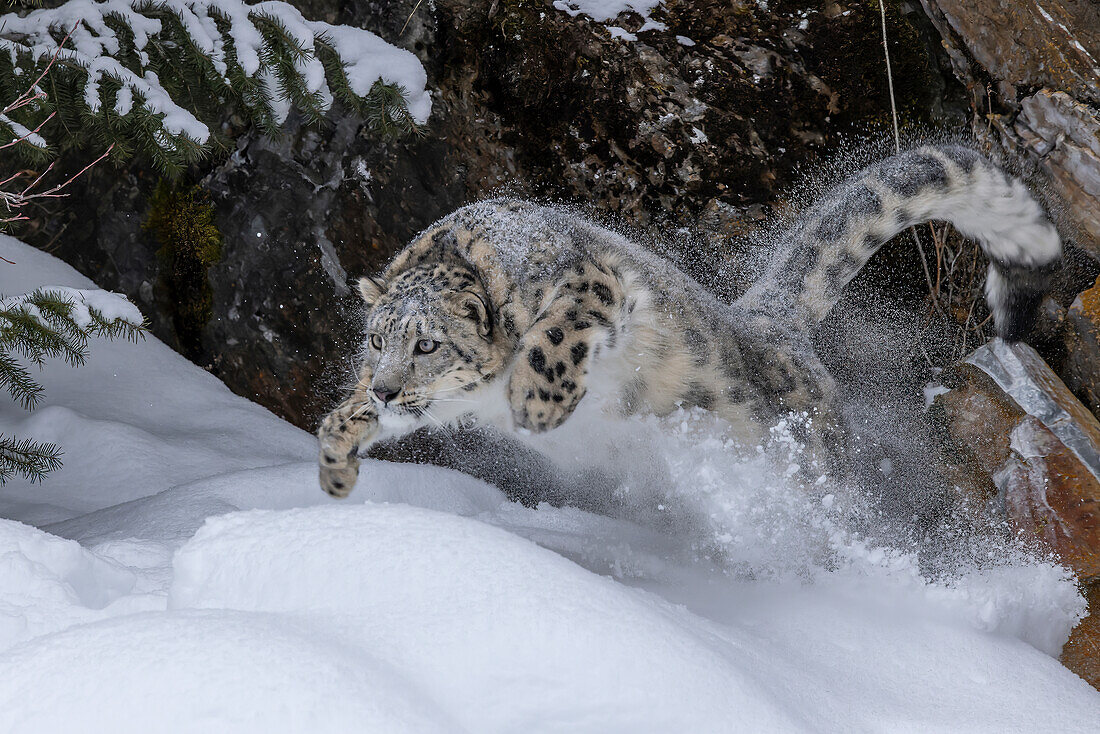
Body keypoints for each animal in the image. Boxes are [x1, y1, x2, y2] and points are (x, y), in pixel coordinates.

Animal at [316, 145, 1056, 497]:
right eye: (377, 339)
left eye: (429, 344)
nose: (385, 386)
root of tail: (768, 320)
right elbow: (341, 418)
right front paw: (335, 466)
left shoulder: (592, 280)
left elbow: (556, 333)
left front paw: (537, 405)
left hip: (811, 450)